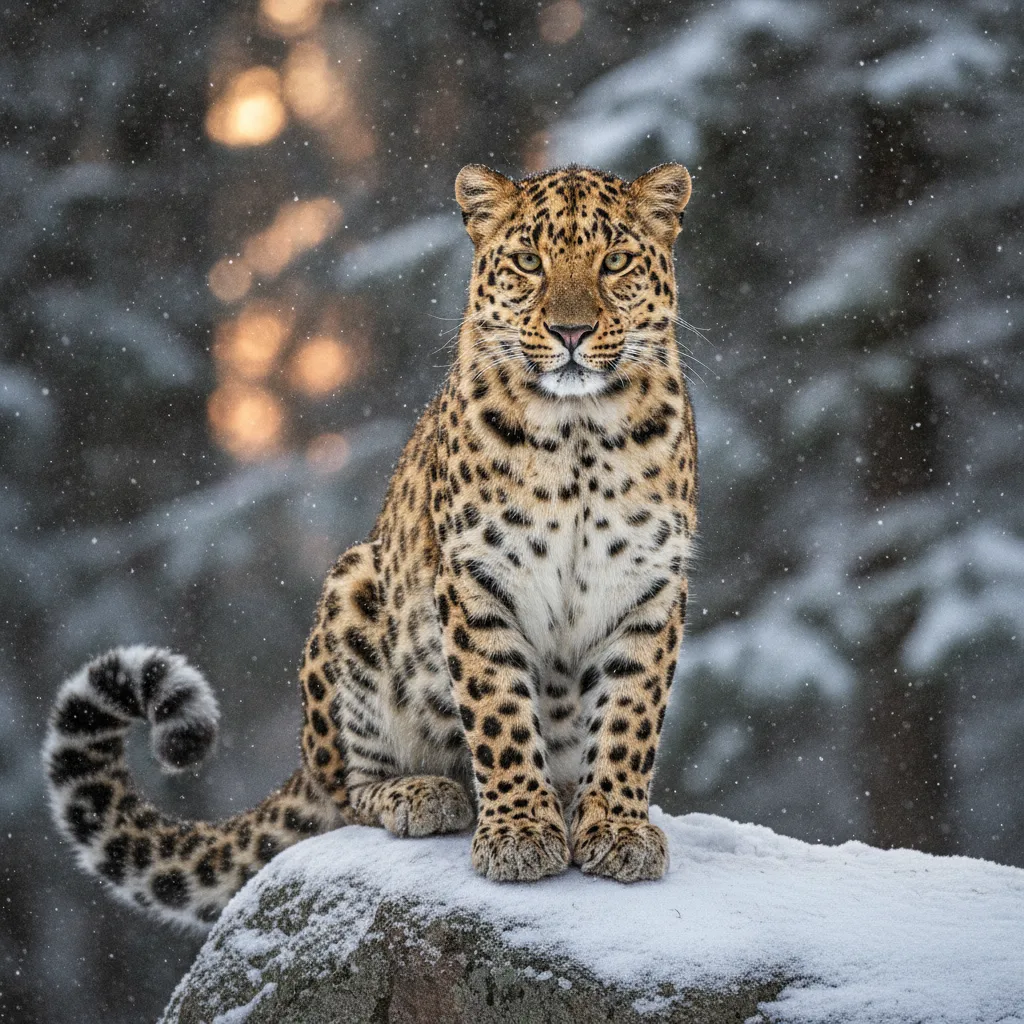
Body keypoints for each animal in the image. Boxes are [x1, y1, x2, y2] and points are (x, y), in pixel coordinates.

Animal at [43, 162, 698, 928]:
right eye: (529, 262)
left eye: (615, 261)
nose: (571, 331)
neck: (580, 431)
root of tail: (305, 759)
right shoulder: (476, 579)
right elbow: (500, 712)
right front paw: (519, 832)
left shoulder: (649, 588)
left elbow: (629, 717)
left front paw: (617, 826)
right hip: (354, 592)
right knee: (350, 794)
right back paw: (425, 795)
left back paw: (561, 796)